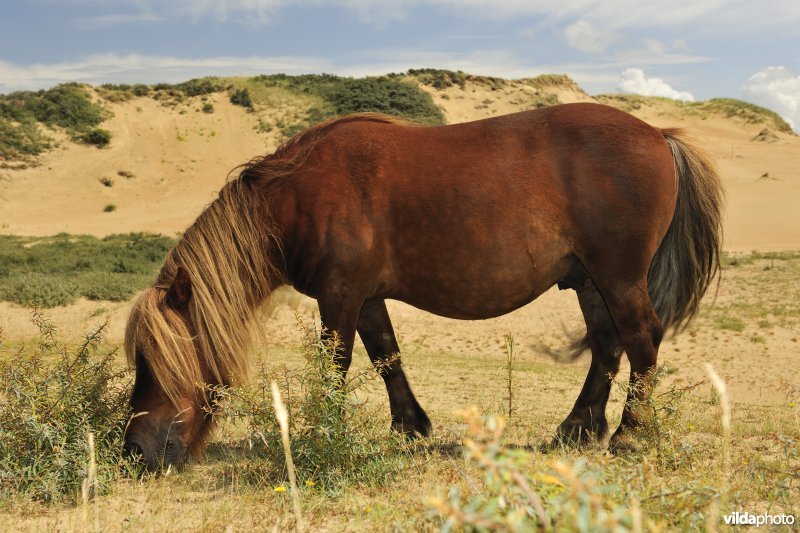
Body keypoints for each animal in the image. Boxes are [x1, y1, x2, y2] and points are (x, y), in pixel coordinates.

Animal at [123, 103, 723, 470]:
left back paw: (629, 434)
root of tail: (659, 135)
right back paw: (578, 428)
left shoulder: (340, 296)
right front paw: (410, 427)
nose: (133, 451)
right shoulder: (364, 298)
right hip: (590, 283)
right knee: (606, 347)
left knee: (641, 341)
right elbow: (387, 357)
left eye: (155, 363)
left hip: (618, 278)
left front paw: (325, 435)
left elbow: (336, 365)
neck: (298, 194)